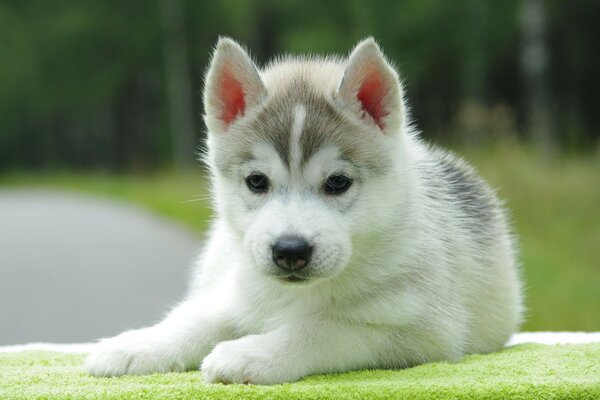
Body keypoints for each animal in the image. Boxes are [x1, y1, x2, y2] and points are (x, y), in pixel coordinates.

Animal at [86, 37, 524, 384]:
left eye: (338, 182)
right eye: (257, 181)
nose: (290, 250)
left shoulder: (423, 332)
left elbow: (323, 329)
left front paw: (250, 353)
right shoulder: (240, 292)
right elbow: (197, 319)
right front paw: (138, 345)